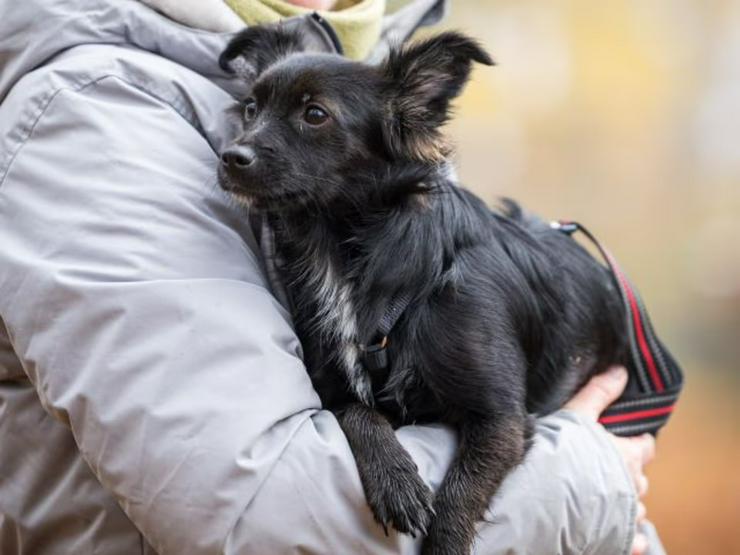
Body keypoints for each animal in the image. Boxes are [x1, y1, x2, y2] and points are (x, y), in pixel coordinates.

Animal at [218, 26, 624, 555]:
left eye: (315, 114)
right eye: (250, 108)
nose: (230, 157)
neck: (343, 247)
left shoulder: (502, 418)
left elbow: (459, 495)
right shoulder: (332, 390)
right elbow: (358, 413)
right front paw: (396, 479)